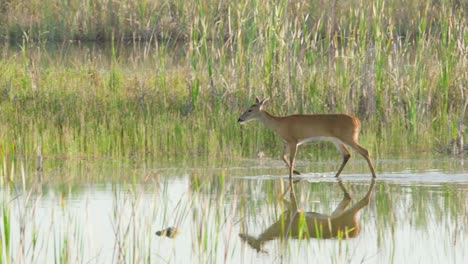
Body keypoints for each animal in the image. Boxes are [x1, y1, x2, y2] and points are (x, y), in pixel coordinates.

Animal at [238, 97, 376, 179]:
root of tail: (358, 121)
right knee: (347, 155)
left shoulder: (293, 141)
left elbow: (292, 159)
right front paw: (297, 172)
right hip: (337, 140)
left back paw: (374, 175)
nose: (239, 119)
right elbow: (282, 157)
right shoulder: (288, 142)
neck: (278, 124)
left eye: (249, 110)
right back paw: (336, 176)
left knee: (365, 151)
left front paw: (291, 175)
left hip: (349, 137)